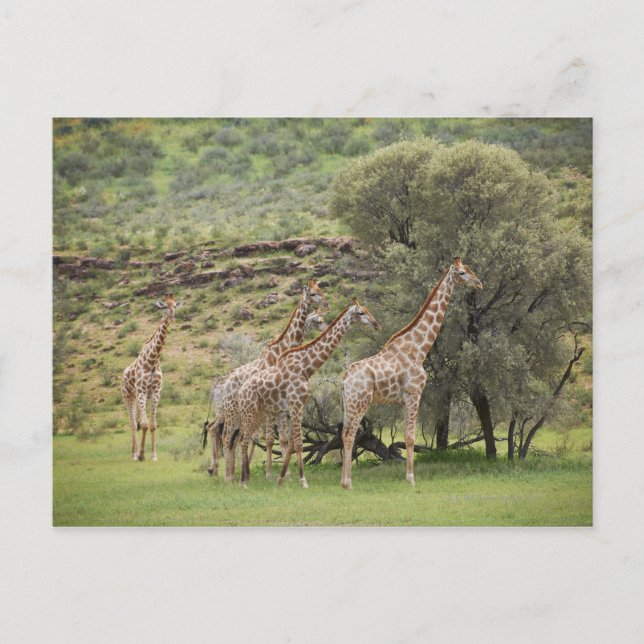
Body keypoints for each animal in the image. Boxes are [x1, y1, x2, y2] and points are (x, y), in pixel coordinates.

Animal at [122, 293, 181, 462]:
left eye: (175, 305)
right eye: (165, 306)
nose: (172, 317)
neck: (153, 360)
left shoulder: (155, 391)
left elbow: (152, 425)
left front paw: (153, 455)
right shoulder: (141, 390)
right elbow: (144, 425)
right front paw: (141, 454)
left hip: (137, 397)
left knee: (136, 422)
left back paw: (134, 452)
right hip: (128, 396)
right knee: (133, 424)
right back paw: (134, 455)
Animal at [216, 281, 329, 481]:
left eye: (321, 291)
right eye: (313, 294)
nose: (327, 303)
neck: (281, 350)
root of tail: (224, 385)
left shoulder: (280, 406)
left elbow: (281, 438)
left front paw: (286, 474)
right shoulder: (272, 406)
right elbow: (269, 438)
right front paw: (270, 474)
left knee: (236, 439)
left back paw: (235, 474)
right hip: (231, 411)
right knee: (227, 437)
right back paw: (229, 477)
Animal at [237, 299, 380, 489]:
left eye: (367, 310)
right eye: (361, 312)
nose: (376, 324)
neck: (306, 367)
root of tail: (241, 391)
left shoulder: (298, 405)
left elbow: (290, 442)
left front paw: (281, 479)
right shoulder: (295, 404)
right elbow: (297, 442)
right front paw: (302, 481)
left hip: (259, 413)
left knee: (246, 439)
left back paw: (245, 478)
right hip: (249, 411)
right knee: (243, 440)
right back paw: (243, 482)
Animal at [339, 258, 482, 489]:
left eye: (470, 269)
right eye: (462, 273)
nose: (479, 283)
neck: (419, 348)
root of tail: (343, 379)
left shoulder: (406, 399)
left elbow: (408, 437)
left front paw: (408, 476)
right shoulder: (414, 394)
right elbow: (410, 438)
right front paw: (410, 479)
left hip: (347, 403)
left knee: (345, 433)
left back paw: (344, 481)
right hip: (359, 401)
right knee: (350, 434)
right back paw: (347, 483)